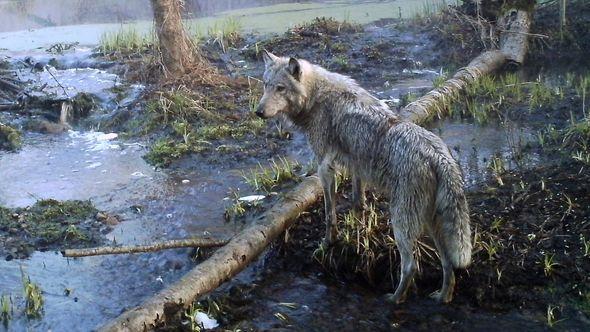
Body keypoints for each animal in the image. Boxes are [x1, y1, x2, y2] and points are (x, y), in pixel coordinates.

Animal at [256, 50, 474, 304]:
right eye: (266, 85)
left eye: (280, 88)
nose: (258, 112)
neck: (316, 97)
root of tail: (439, 156)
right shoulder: (355, 165)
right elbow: (357, 201)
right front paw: (358, 229)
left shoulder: (324, 168)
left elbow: (329, 214)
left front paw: (328, 243)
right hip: (431, 223)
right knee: (448, 263)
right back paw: (442, 297)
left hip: (401, 223)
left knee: (411, 266)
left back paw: (394, 299)